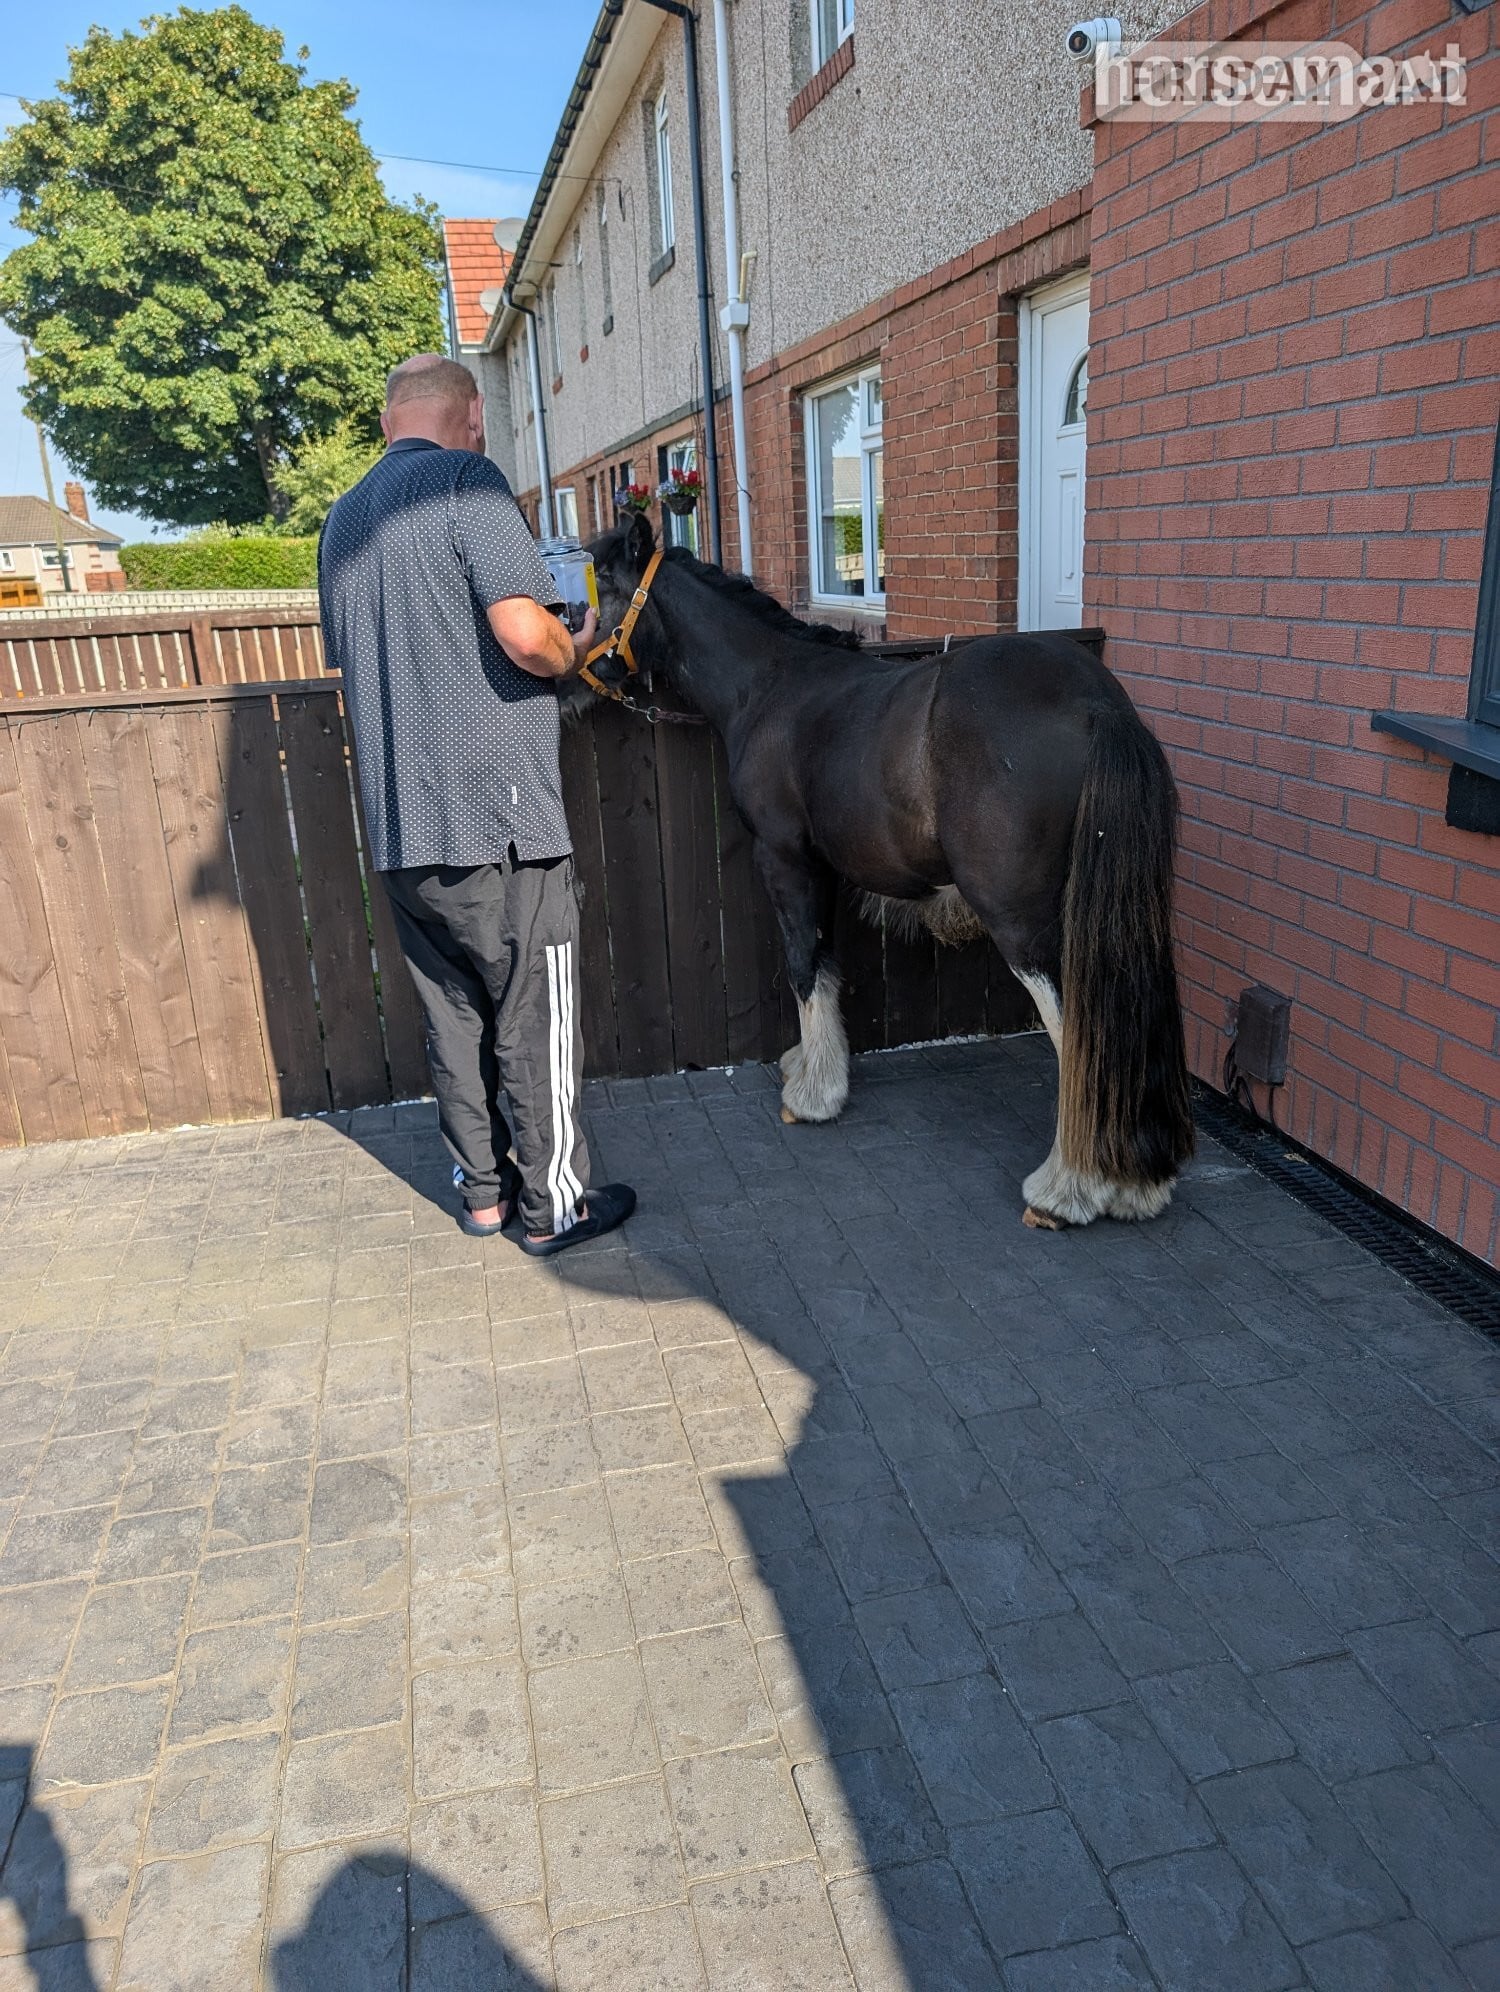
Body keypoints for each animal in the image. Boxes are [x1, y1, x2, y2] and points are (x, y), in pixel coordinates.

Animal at [585, 512, 1194, 1228]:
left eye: (601, 582)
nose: (574, 665)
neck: (769, 688)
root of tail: (1098, 704)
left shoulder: (786, 861)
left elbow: (804, 963)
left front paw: (814, 1094)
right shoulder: (821, 869)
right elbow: (826, 962)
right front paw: (816, 1066)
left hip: (1023, 923)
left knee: (1078, 1030)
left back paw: (1070, 1185)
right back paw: (1136, 1182)